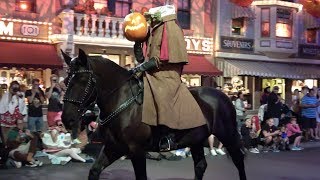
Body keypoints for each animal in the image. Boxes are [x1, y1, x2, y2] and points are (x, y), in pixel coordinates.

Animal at [61, 49, 246, 180]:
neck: (124, 103)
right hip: (196, 140)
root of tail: (224, 95)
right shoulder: (114, 147)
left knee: (238, 160)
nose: (66, 119)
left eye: (82, 81)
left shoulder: (136, 150)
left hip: (227, 134)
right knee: (200, 166)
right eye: (66, 80)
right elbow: (94, 171)